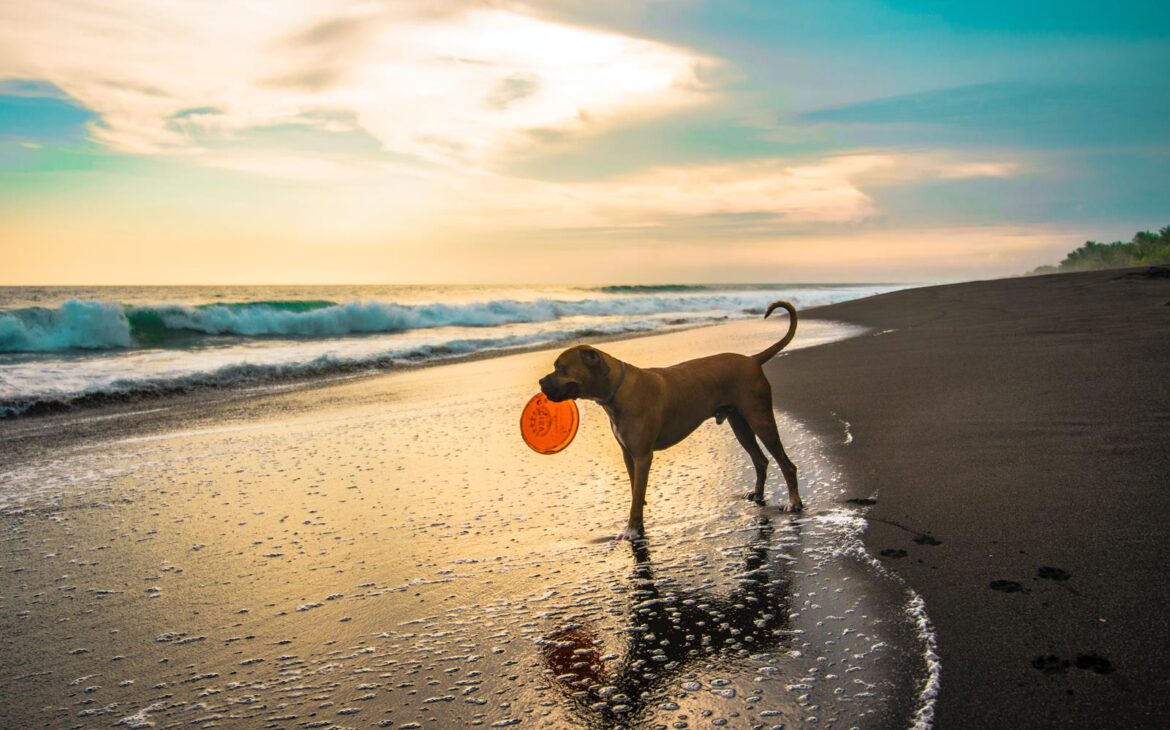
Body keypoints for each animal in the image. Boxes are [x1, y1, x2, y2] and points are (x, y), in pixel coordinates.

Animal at [540, 299, 804, 538]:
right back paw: (758, 494)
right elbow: (636, 490)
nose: (541, 382)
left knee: (786, 464)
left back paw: (794, 502)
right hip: (740, 424)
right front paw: (638, 520)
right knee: (760, 460)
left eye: (560, 368)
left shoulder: (642, 456)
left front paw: (631, 529)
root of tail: (752, 359)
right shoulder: (628, 455)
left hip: (761, 420)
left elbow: (636, 495)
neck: (617, 389)